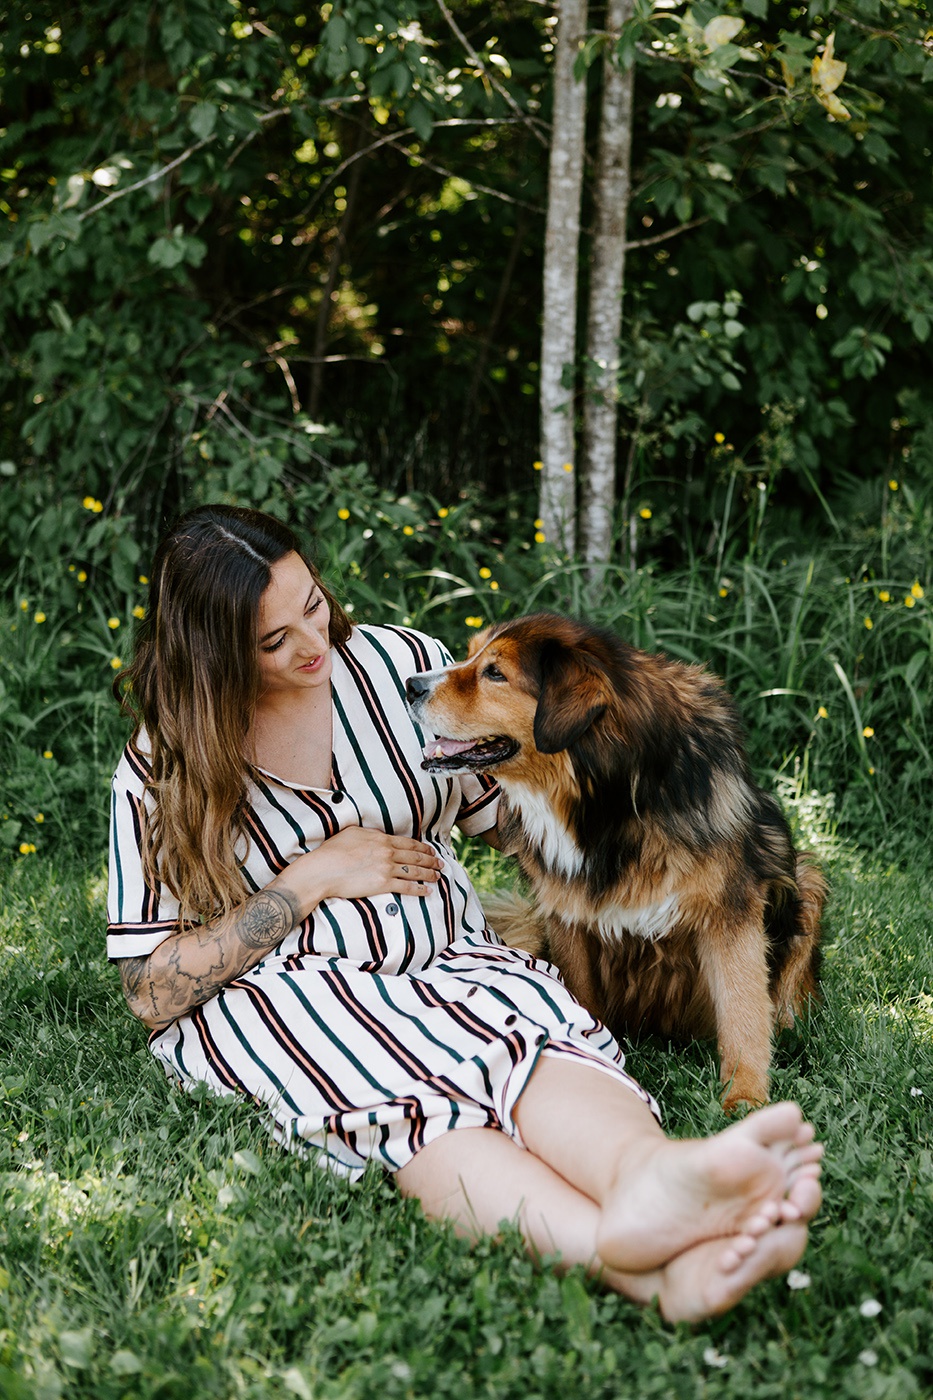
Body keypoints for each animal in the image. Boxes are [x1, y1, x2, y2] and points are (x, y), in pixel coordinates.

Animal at [406, 607, 823, 1108]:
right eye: (468, 657)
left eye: (495, 673)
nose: (410, 684)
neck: (611, 796)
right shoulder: (567, 910)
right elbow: (580, 993)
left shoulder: (730, 911)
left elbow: (743, 1010)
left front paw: (745, 1097)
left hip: (809, 883)